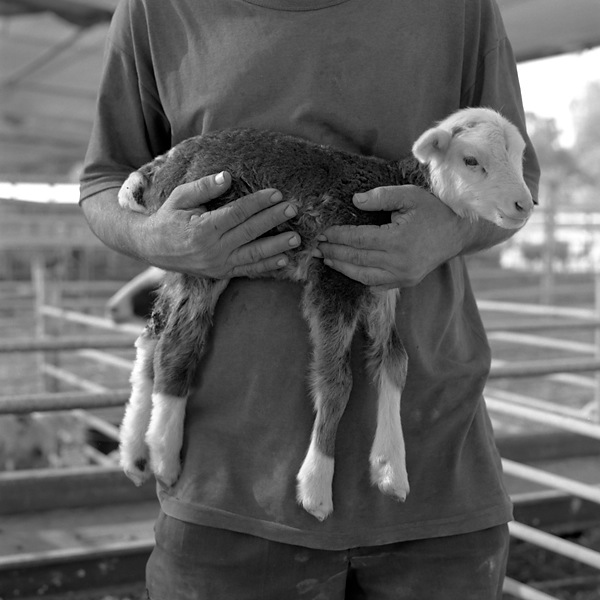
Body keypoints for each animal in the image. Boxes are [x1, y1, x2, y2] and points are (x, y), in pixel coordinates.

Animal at [116, 108, 536, 520]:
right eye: (471, 160)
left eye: (519, 158)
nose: (524, 205)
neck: (390, 186)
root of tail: (157, 167)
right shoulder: (332, 274)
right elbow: (336, 381)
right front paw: (317, 485)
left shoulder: (381, 276)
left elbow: (394, 360)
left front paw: (391, 469)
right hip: (200, 243)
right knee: (178, 343)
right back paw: (165, 452)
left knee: (153, 333)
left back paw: (135, 449)